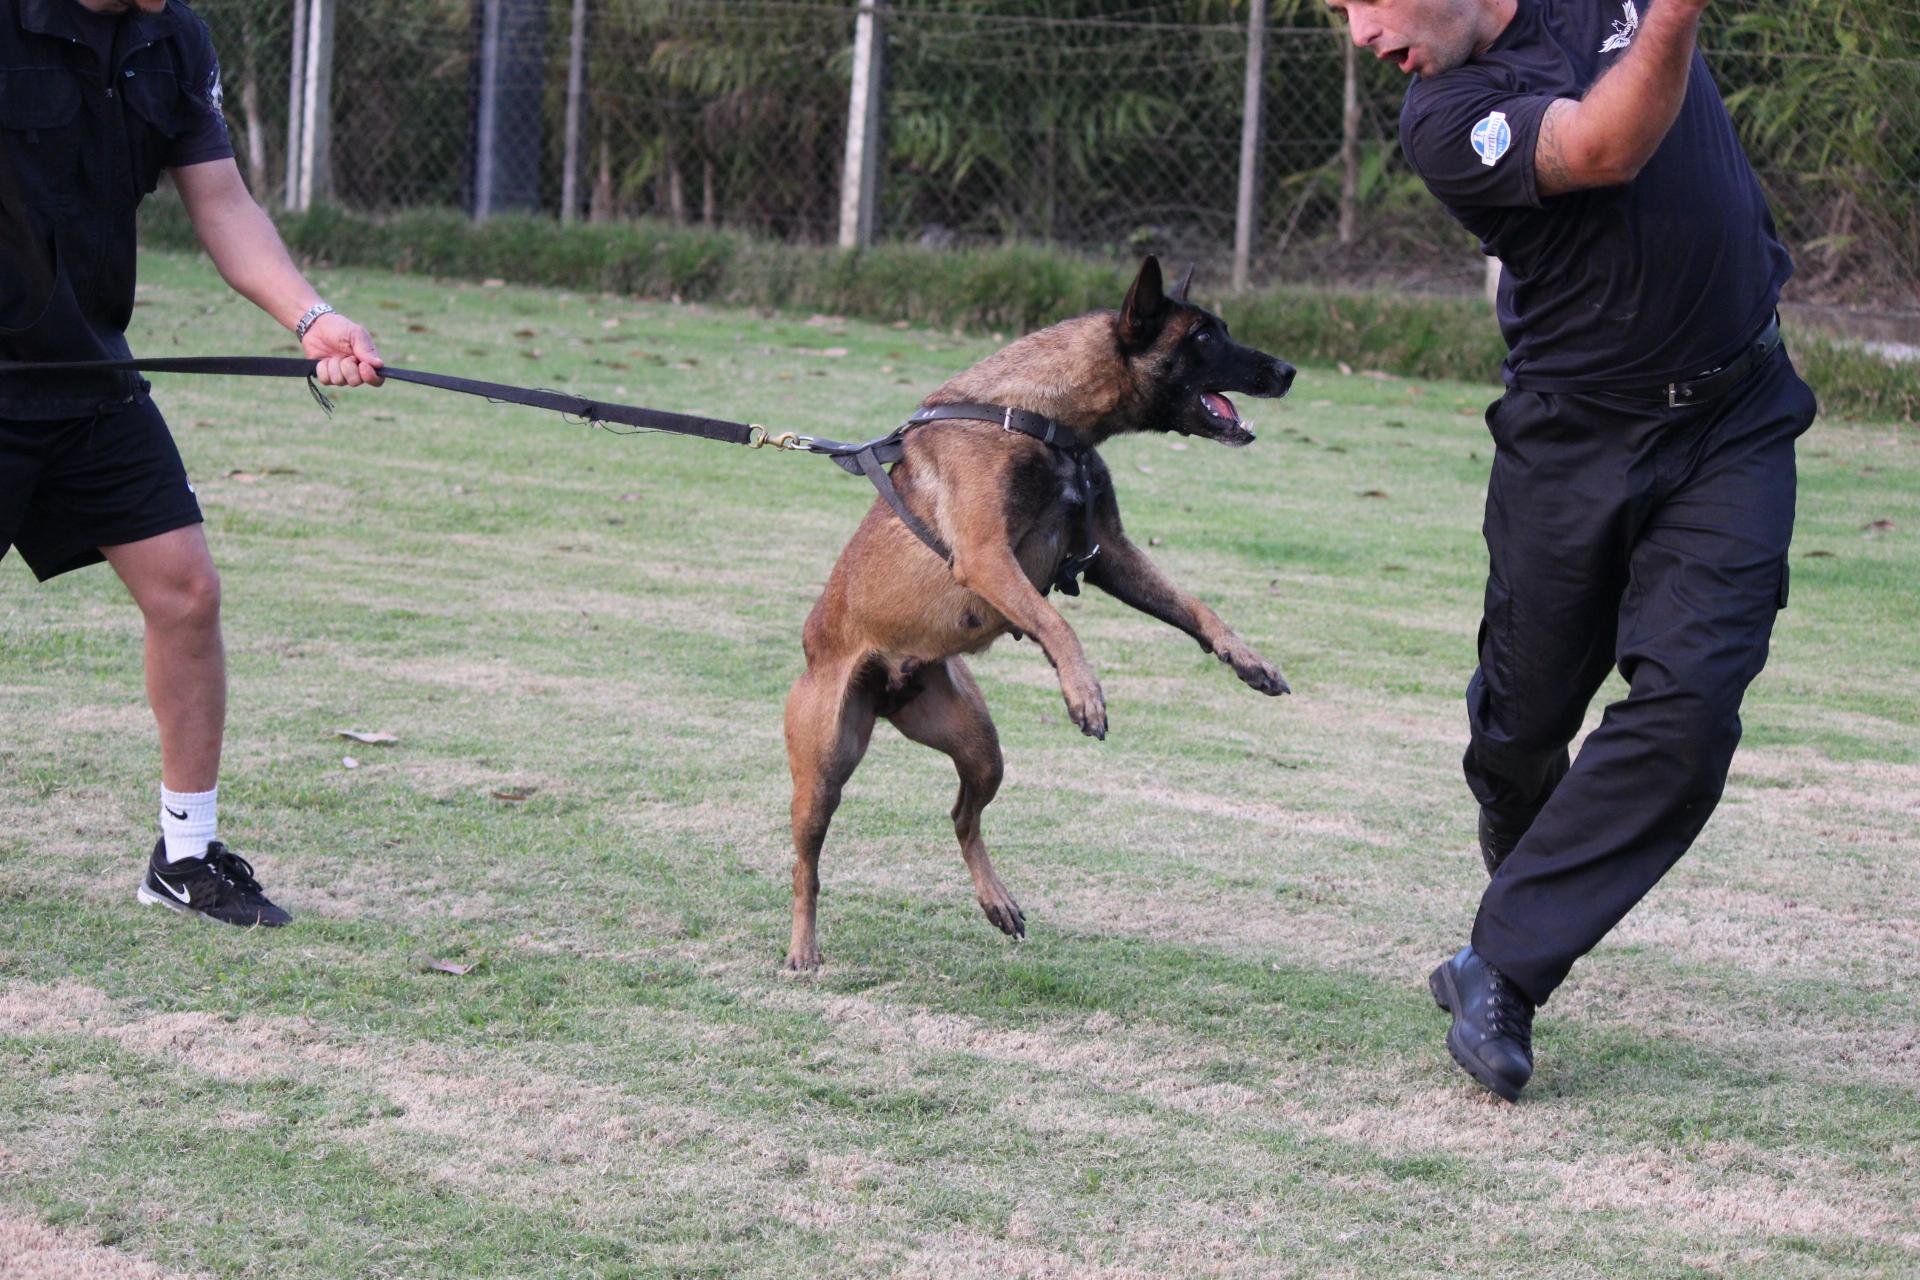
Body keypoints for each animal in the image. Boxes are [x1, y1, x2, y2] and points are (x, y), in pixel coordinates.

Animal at [787, 257, 1297, 971]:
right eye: (1202, 336)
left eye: (1221, 329)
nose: (1288, 370)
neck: (1040, 418)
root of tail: (884, 686)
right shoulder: (985, 557)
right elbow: (1060, 624)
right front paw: (1084, 692)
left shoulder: (1109, 552)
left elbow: (1194, 605)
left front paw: (1246, 659)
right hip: (824, 767)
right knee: (807, 862)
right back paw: (802, 946)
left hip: (979, 747)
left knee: (962, 817)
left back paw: (997, 901)